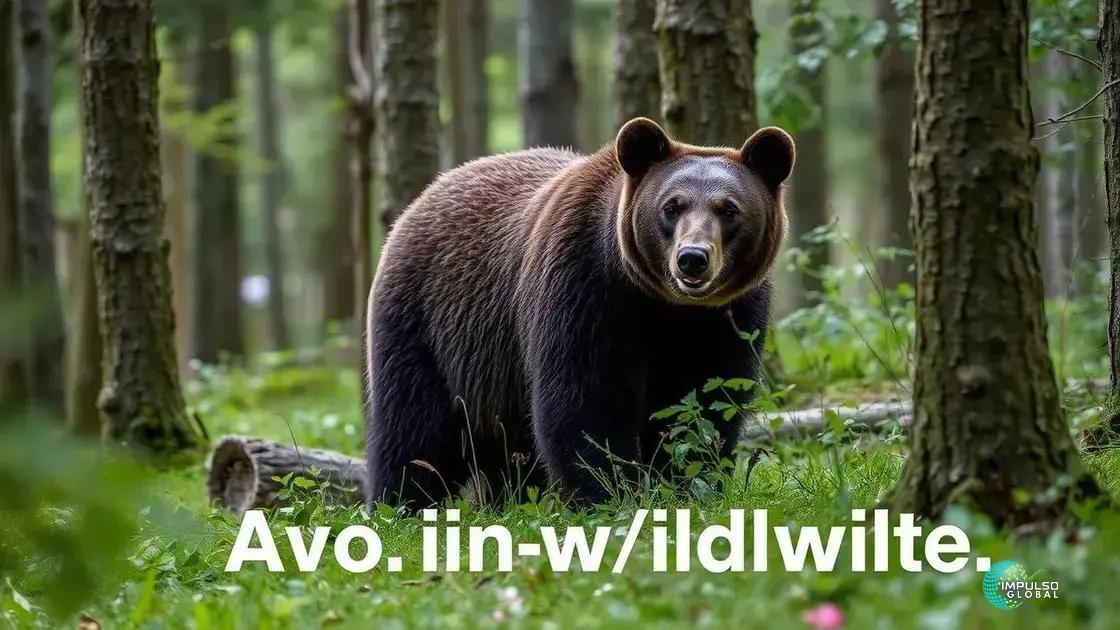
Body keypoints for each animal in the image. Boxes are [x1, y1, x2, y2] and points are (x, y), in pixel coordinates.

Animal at [363, 117, 794, 507]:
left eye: (729, 209)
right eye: (672, 206)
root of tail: (426, 194)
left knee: (508, 458)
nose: (692, 258)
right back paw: (400, 505)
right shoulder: (584, 287)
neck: (666, 307)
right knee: (415, 431)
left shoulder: (730, 318)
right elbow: (586, 401)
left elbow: (706, 403)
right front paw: (608, 493)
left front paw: (687, 486)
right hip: (430, 325)